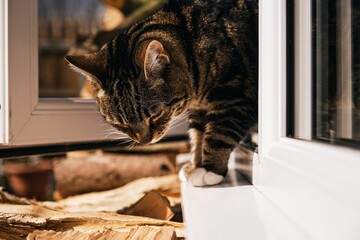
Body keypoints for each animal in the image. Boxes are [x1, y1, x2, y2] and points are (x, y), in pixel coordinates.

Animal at [67, 0, 258, 186]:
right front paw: (195, 165)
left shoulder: (236, 97)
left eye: (155, 116)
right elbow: (198, 134)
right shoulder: (199, 108)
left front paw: (209, 170)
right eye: (121, 124)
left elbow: (219, 134)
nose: (144, 142)